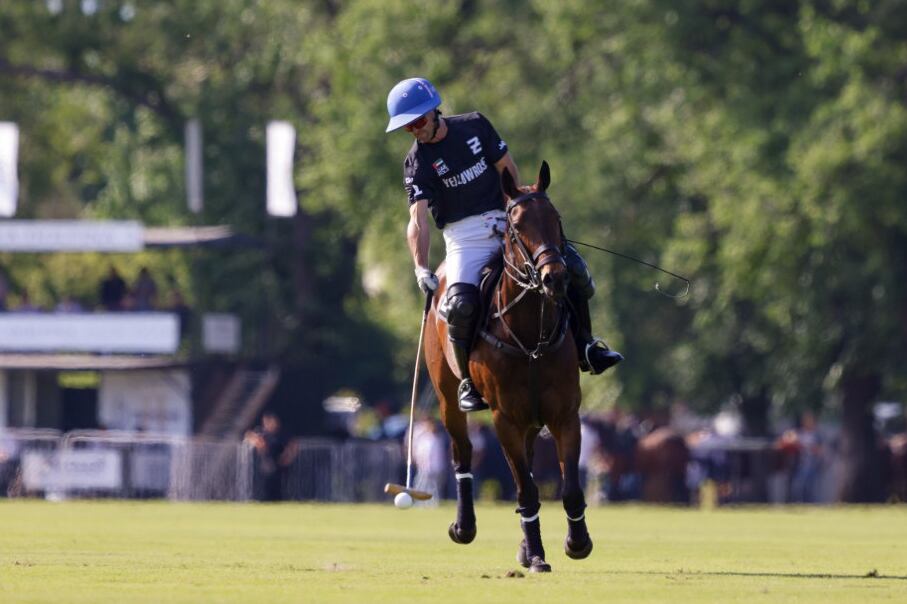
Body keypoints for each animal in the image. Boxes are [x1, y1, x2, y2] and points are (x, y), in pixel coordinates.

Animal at [422, 160, 592, 572]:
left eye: (556, 219)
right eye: (516, 227)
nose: (554, 277)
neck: (530, 336)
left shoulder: (565, 414)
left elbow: (568, 487)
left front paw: (576, 542)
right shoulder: (504, 418)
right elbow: (526, 489)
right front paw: (538, 556)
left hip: (532, 418)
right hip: (447, 397)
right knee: (462, 452)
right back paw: (464, 527)